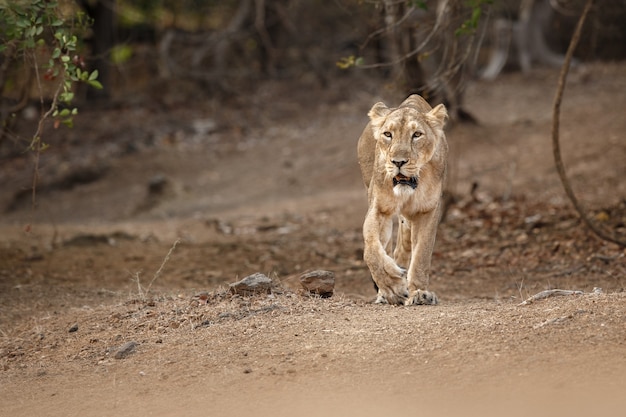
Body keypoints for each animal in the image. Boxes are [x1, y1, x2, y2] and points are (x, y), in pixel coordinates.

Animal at [356, 94, 444, 304]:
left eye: (417, 134)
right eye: (388, 134)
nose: (398, 162)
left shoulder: (428, 210)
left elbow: (422, 254)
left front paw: (419, 292)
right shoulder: (379, 208)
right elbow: (371, 249)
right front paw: (391, 287)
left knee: (402, 248)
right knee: (387, 248)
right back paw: (384, 292)